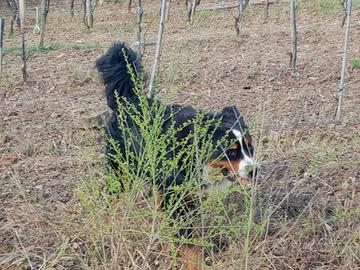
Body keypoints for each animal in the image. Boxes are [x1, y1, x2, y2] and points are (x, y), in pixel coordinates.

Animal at [94, 42, 255, 270]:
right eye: (231, 151)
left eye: (250, 148)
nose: (254, 170)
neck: (195, 155)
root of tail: (128, 99)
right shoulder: (177, 198)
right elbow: (188, 241)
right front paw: (192, 262)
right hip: (121, 171)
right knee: (113, 195)